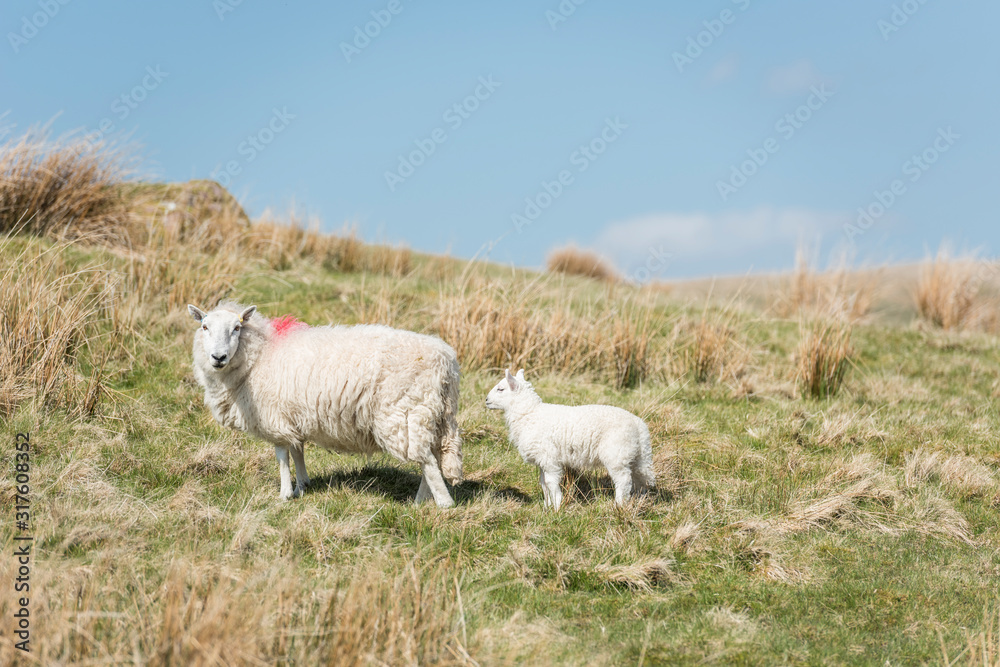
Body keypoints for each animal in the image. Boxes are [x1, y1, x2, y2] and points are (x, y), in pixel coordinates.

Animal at [187, 301, 463, 508]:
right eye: (204, 327)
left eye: (236, 328)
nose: (218, 357)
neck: (259, 355)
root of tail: (446, 360)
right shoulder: (293, 415)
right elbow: (297, 451)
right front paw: (302, 486)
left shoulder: (274, 416)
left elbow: (282, 454)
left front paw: (285, 494)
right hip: (432, 414)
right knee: (434, 457)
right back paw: (421, 501)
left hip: (404, 414)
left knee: (427, 462)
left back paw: (442, 504)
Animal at [485, 369, 654, 510]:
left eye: (501, 389)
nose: (486, 400)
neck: (530, 413)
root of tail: (639, 425)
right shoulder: (542, 460)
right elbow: (543, 483)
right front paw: (546, 507)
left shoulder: (549, 458)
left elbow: (550, 483)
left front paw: (557, 507)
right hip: (634, 455)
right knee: (640, 480)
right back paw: (638, 500)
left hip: (616, 454)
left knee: (624, 481)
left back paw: (619, 505)